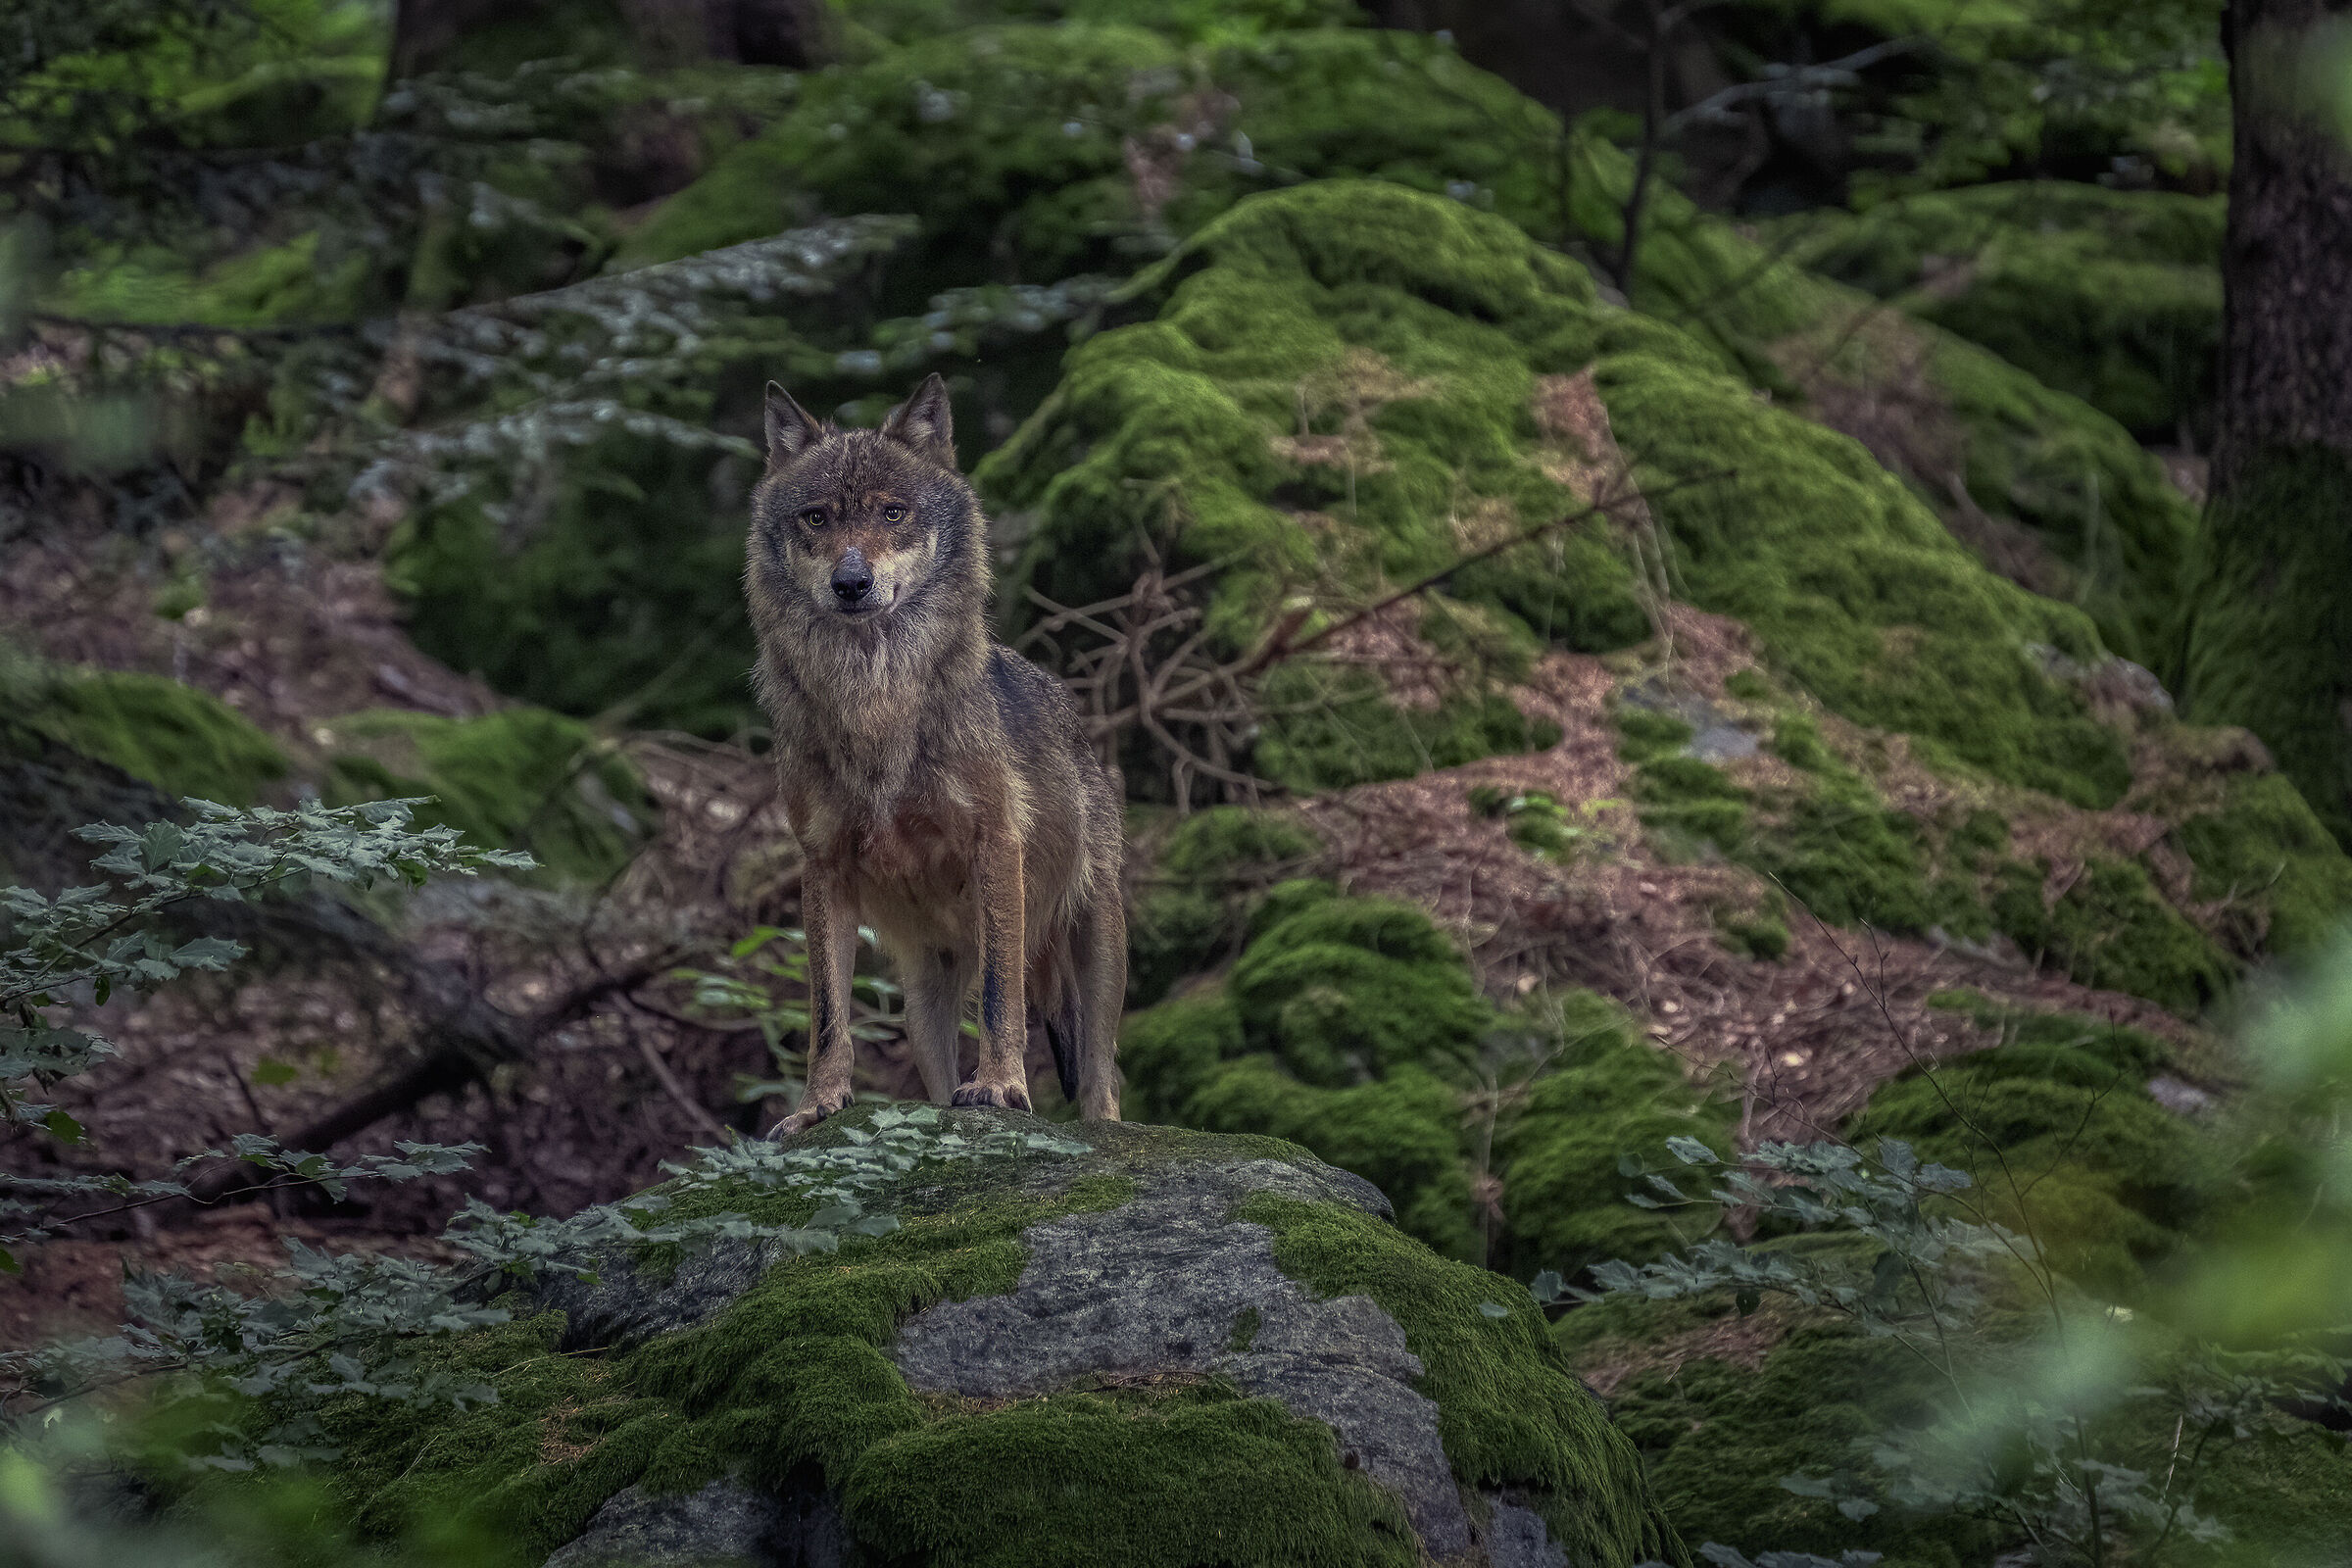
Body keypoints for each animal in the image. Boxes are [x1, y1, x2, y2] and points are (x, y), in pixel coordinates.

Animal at [744, 373, 1126, 1135]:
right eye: (817, 518)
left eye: (894, 513)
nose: (851, 583)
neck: (876, 703)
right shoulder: (821, 866)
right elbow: (827, 1016)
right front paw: (817, 1107)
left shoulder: (994, 842)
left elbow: (1001, 997)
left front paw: (1003, 1086)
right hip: (922, 996)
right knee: (939, 1082)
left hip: (1096, 942)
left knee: (1101, 1084)